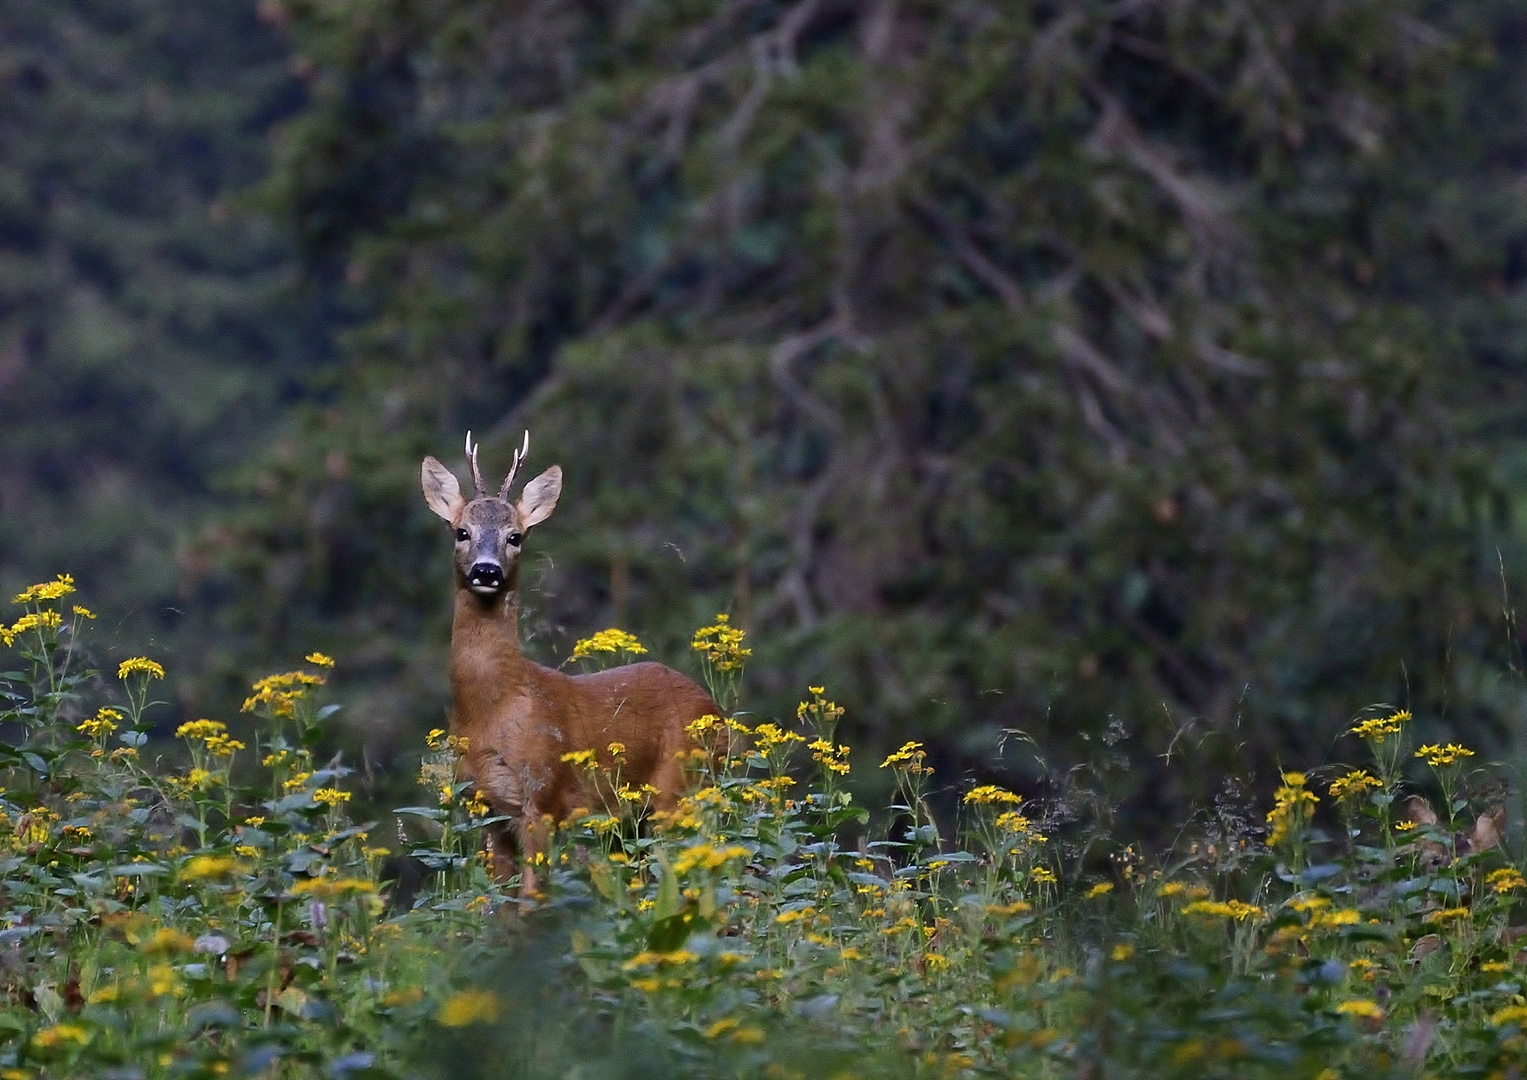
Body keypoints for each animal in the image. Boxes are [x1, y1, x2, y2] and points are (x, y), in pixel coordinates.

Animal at [418, 430, 714, 898]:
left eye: (516, 536)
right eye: (461, 531)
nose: (487, 571)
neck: (494, 709)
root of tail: (717, 712)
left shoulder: (543, 797)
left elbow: (530, 899)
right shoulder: (487, 810)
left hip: (680, 789)